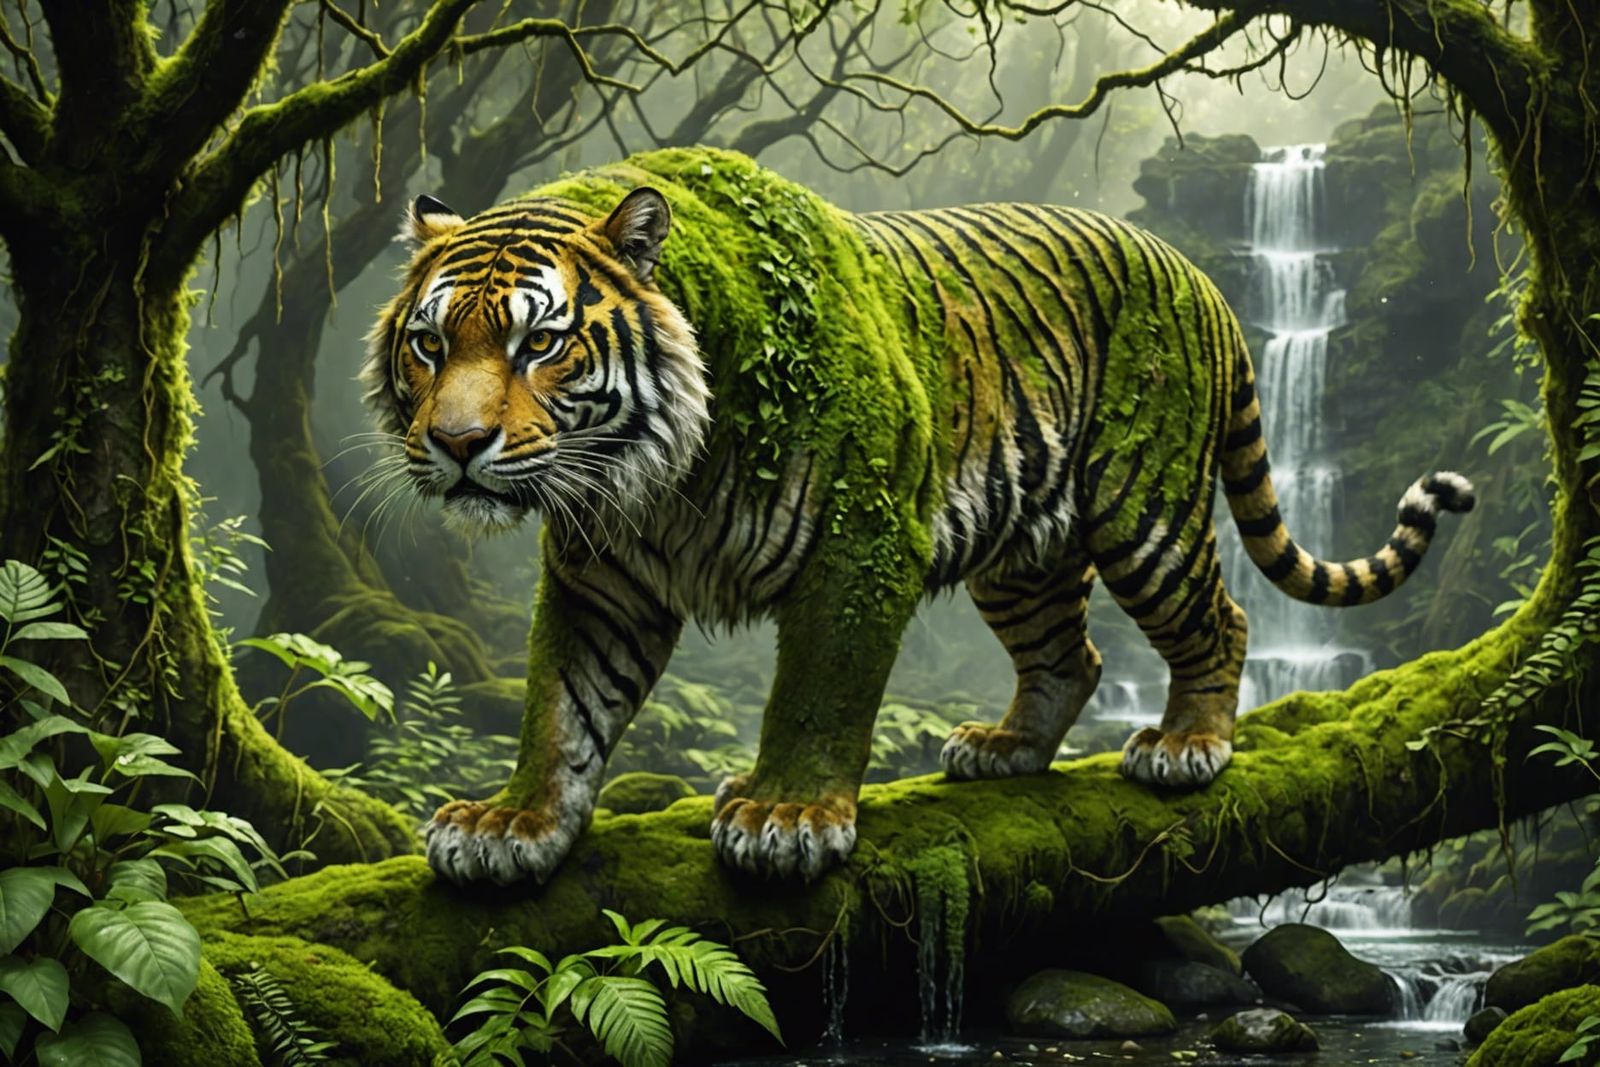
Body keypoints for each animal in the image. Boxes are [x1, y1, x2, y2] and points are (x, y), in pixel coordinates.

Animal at [362, 147, 1474, 887]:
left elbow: (816, 692)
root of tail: (1200, 276)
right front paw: (513, 823)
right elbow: (561, 706)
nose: (456, 443)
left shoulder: (859, 544)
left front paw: (784, 814)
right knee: (1073, 656)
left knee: (1222, 618)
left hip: (1142, 509)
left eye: (539, 344)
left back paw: (1186, 745)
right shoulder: (600, 577)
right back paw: (1005, 748)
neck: (654, 474)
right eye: (429, 343)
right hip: (1022, 557)